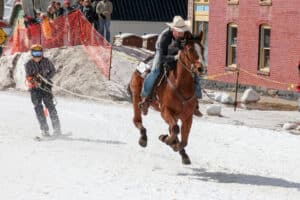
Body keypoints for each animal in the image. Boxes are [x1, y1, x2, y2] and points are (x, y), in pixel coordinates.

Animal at [127, 34, 205, 165]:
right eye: (190, 49)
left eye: (203, 49)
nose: (201, 68)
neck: (181, 85)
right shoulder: (165, 111)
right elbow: (175, 129)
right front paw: (165, 139)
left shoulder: (188, 117)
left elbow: (184, 140)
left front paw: (177, 147)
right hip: (136, 96)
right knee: (137, 120)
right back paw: (143, 138)